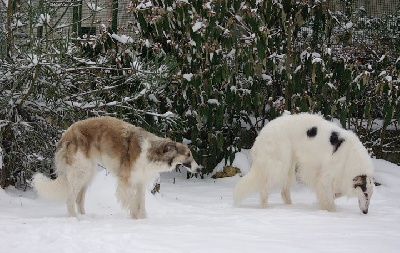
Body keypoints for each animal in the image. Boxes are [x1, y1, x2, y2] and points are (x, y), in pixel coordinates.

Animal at [32, 116, 200, 217]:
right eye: (188, 154)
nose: (199, 169)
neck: (150, 151)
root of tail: (66, 133)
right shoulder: (125, 183)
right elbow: (134, 205)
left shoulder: (140, 181)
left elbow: (142, 205)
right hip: (80, 172)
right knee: (69, 199)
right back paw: (75, 219)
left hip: (87, 173)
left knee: (79, 199)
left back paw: (85, 217)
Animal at [234, 112, 376, 213]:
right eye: (365, 194)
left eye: (370, 195)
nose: (365, 212)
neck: (350, 155)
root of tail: (262, 133)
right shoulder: (326, 176)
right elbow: (330, 199)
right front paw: (330, 211)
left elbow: (333, 194)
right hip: (279, 166)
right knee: (264, 191)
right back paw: (265, 209)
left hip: (289, 166)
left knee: (284, 191)